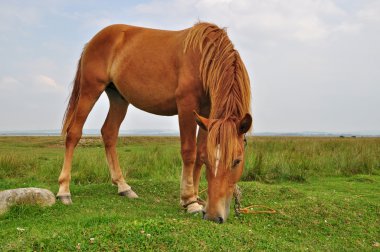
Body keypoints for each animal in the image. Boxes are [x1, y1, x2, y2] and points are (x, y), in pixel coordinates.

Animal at [57, 21, 252, 222]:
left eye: (237, 161)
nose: (213, 216)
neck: (203, 57)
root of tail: (92, 41)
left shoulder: (206, 113)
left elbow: (199, 154)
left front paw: (196, 196)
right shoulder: (186, 106)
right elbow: (189, 152)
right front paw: (189, 201)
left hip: (118, 98)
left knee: (109, 133)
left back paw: (123, 187)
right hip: (90, 90)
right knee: (74, 133)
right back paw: (64, 191)